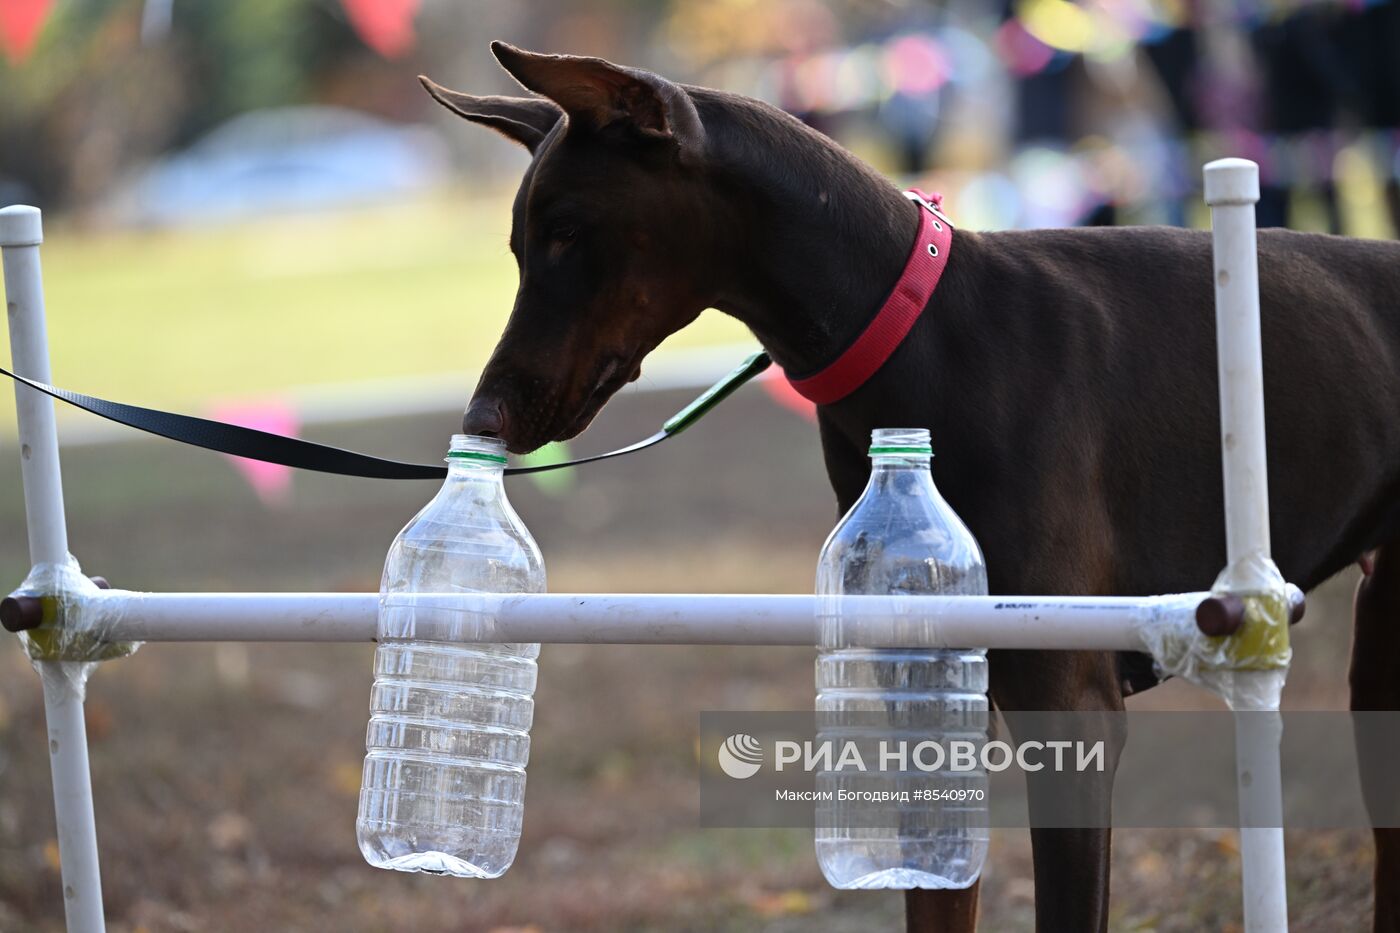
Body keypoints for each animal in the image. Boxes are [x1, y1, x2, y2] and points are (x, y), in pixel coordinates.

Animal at [420, 41, 1400, 930]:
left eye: (568, 233)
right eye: (520, 244)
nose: (482, 416)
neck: (920, 340)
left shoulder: (1070, 703)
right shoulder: (922, 697)